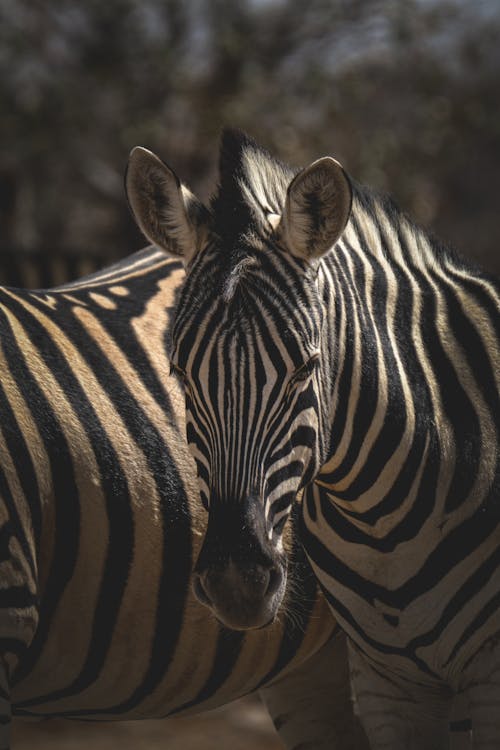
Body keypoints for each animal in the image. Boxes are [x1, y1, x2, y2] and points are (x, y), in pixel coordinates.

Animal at [126, 131, 500, 750]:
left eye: (304, 368)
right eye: (179, 373)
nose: (236, 585)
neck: (378, 527)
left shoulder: (485, 678)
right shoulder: (387, 686)